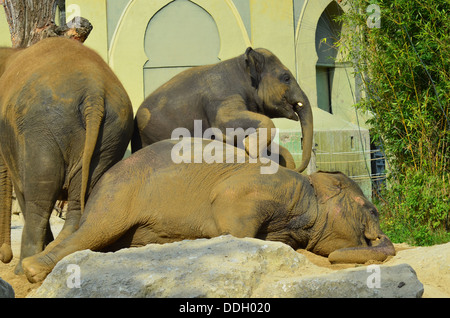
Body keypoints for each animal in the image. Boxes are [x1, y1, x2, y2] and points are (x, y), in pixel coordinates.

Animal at [0, 37, 134, 274]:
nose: (4, 256)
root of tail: (94, 92)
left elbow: (24, 189)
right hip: (113, 132)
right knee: (83, 192)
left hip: (43, 130)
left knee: (40, 193)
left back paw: (25, 267)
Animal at [22, 139, 394, 284]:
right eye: (371, 209)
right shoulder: (265, 188)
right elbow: (229, 214)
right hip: (119, 197)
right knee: (96, 231)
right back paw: (32, 271)